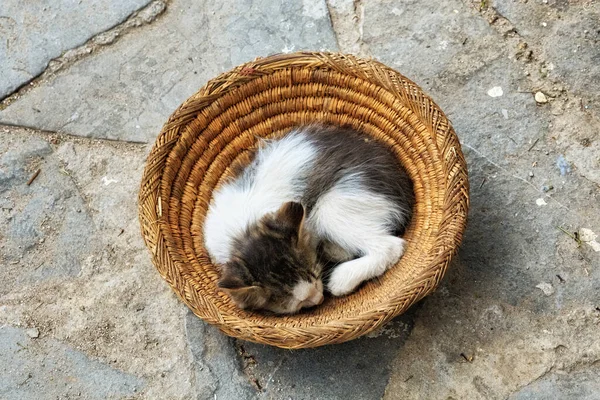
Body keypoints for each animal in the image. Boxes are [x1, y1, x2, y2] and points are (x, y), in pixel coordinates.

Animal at [202, 123, 412, 314]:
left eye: (315, 275)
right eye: (299, 303)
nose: (320, 299)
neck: (244, 229)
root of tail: (404, 187)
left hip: (333, 205)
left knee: (390, 246)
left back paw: (342, 279)